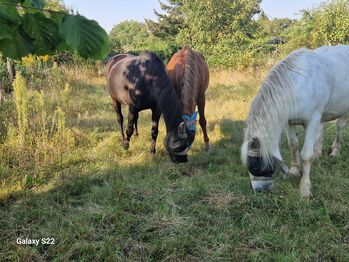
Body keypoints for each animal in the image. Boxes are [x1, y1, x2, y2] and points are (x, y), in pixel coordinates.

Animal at [241, 45, 348, 196]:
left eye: (257, 167)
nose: (260, 190)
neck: (297, 85)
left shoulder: (312, 120)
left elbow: (306, 156)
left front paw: (304, 188)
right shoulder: (289, 121)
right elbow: (293, 145)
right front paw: (294, 171)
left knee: (339, 126)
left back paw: (335, 151)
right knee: (322, 128)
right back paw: (318, 154)